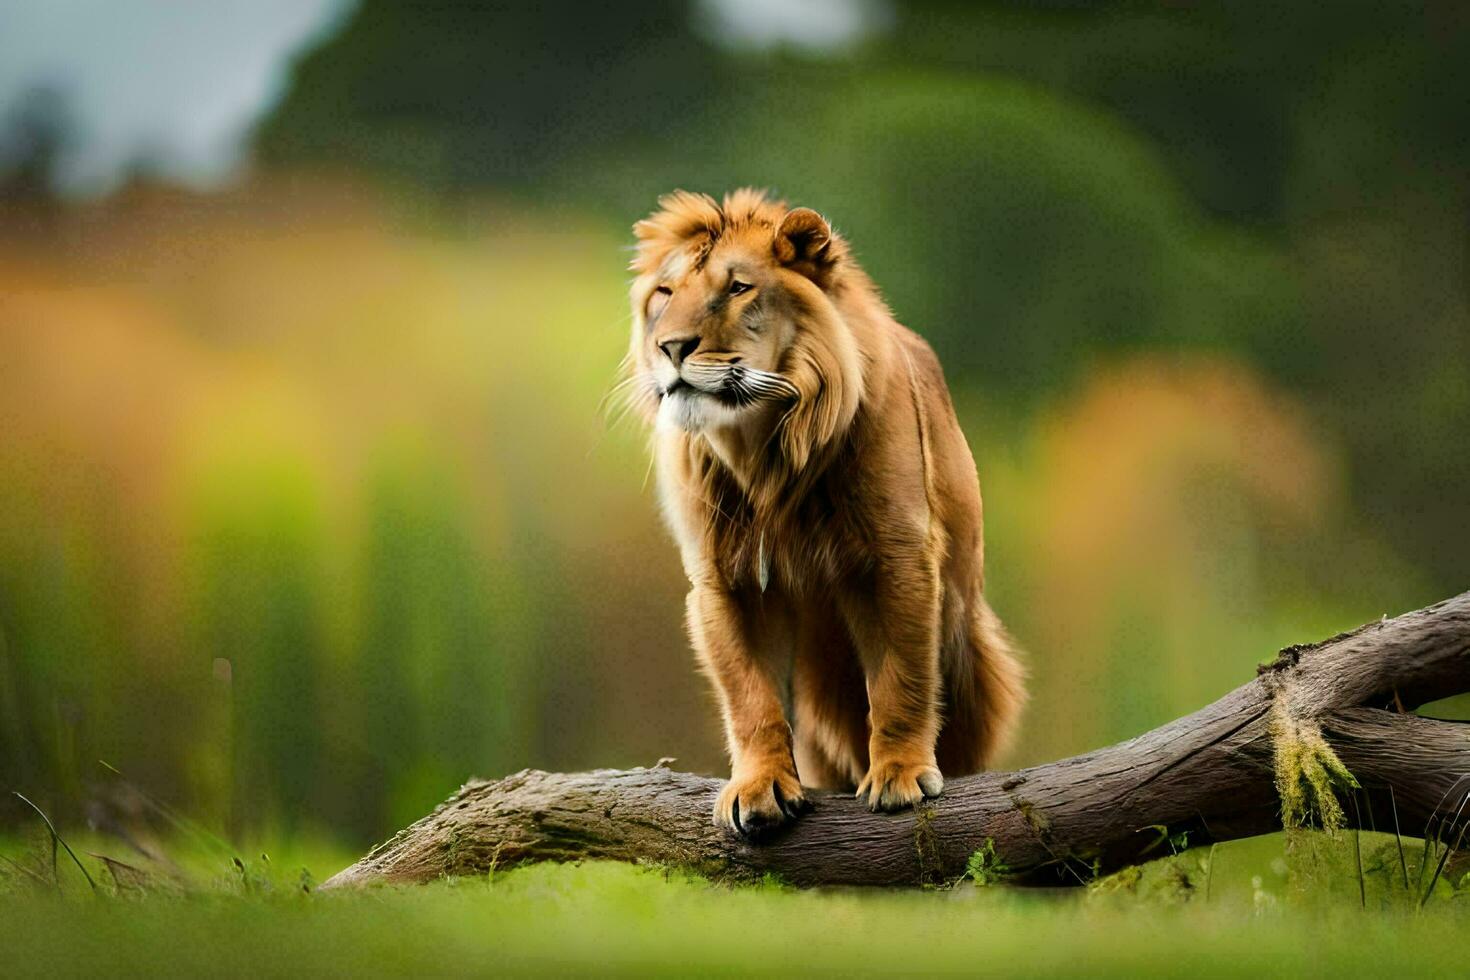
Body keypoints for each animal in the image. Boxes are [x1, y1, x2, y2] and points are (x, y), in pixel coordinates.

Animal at [626, 189, 1029, 834]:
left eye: (737, 288)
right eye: (664, 294)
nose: (672, 347)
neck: (763, 449)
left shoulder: (898, 556)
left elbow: (900, 677)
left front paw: (901, 775)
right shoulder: (725, 580)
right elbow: (750, 697)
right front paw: (760, 787)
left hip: (966, 644)